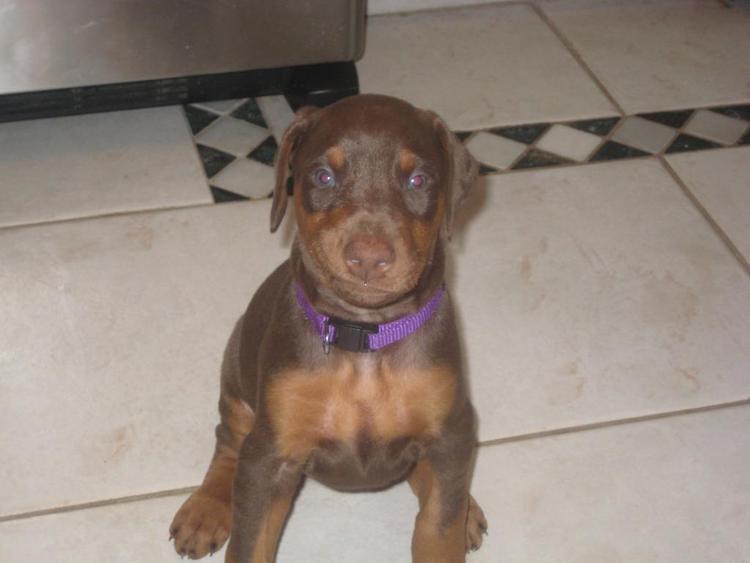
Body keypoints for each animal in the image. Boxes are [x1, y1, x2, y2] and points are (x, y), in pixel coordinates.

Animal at [169, 94, 488, 560]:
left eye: (418, 180)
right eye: (323, 175)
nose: (369, 256)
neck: (365, 338)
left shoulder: (449, 434)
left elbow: (437, 526)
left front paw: (454, 517)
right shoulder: (270, 456)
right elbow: (250, 541)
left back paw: (468, 508)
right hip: (236, 375)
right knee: (229, 438)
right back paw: (206, 507)